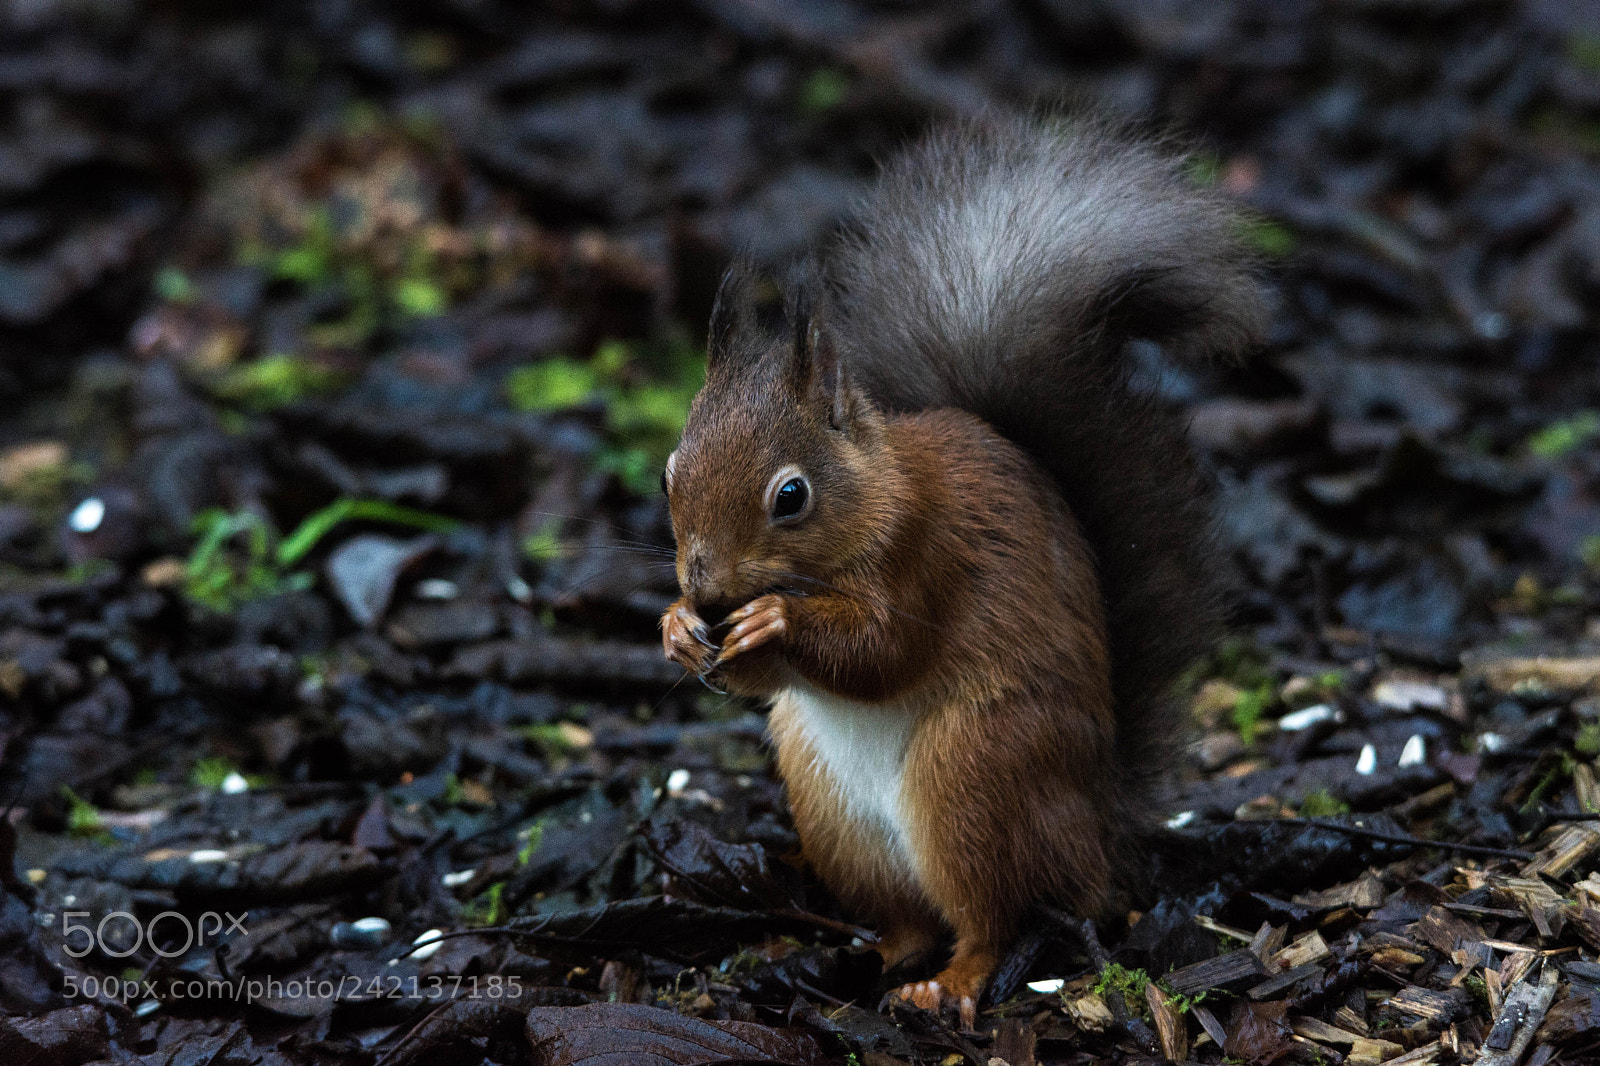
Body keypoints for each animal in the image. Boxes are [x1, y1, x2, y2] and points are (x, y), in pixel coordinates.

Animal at [659, 115, 1265, 1027]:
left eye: (791, 496)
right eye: (668, 473)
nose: (704, 590)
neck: (876, 498)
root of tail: (1099, 836)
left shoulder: (929, 557)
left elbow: (882, 653)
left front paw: (777, 621)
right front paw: (676, 629)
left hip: (977, 772)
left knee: (995, 916)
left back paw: (952, 981)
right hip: (833, 811)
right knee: (912, 914)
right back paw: (870, 955)